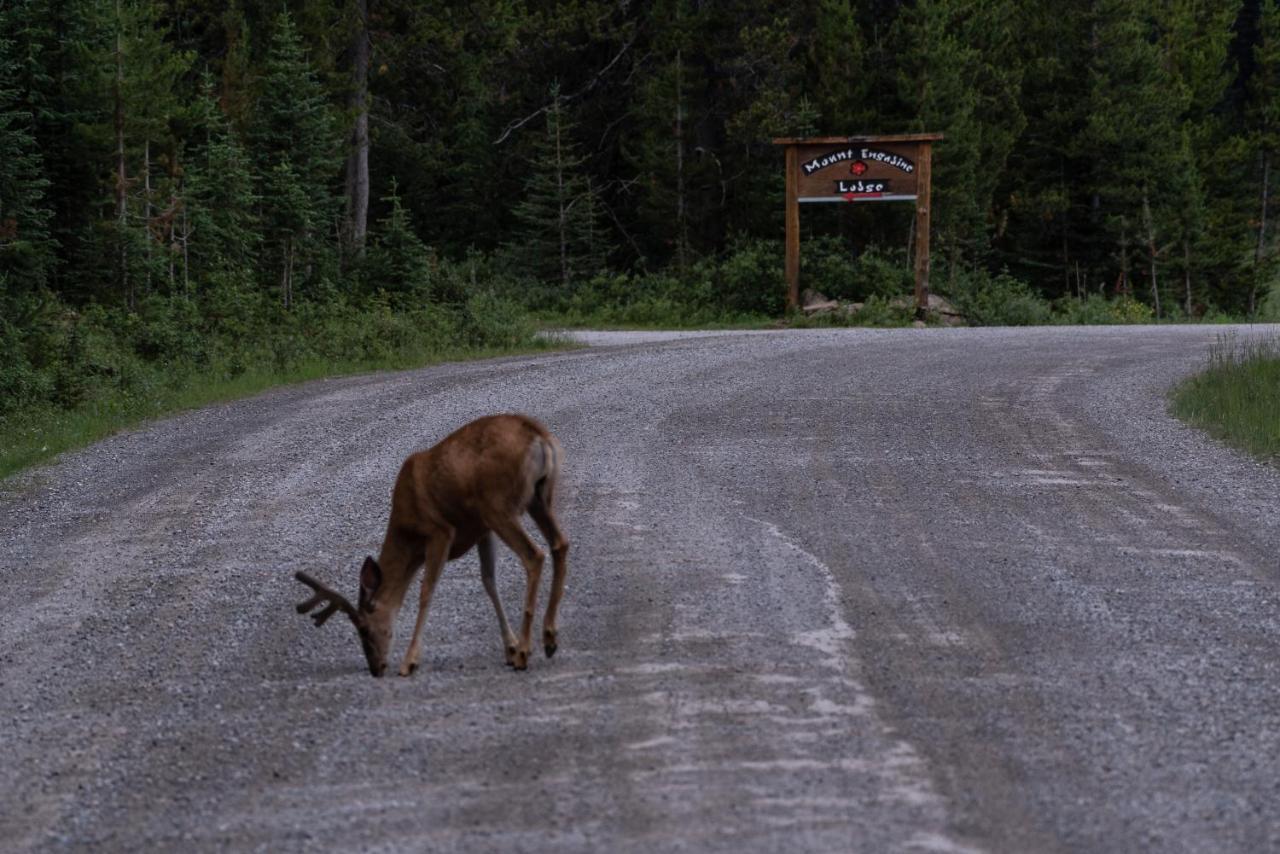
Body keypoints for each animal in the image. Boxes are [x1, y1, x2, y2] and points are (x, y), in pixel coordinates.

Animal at [294, 414, 570, 681]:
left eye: (363, 628)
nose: (375, 669)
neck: (407, 531)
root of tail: (538, 435)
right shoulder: (482, 529)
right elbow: (488, 581)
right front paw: (509, 649)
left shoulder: (439, 531)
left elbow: (427, 590)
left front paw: (409, 662)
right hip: (538, 498)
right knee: (560, 544)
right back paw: (548, 638)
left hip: (498, 505)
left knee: (534, 555)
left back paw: (526, 651)